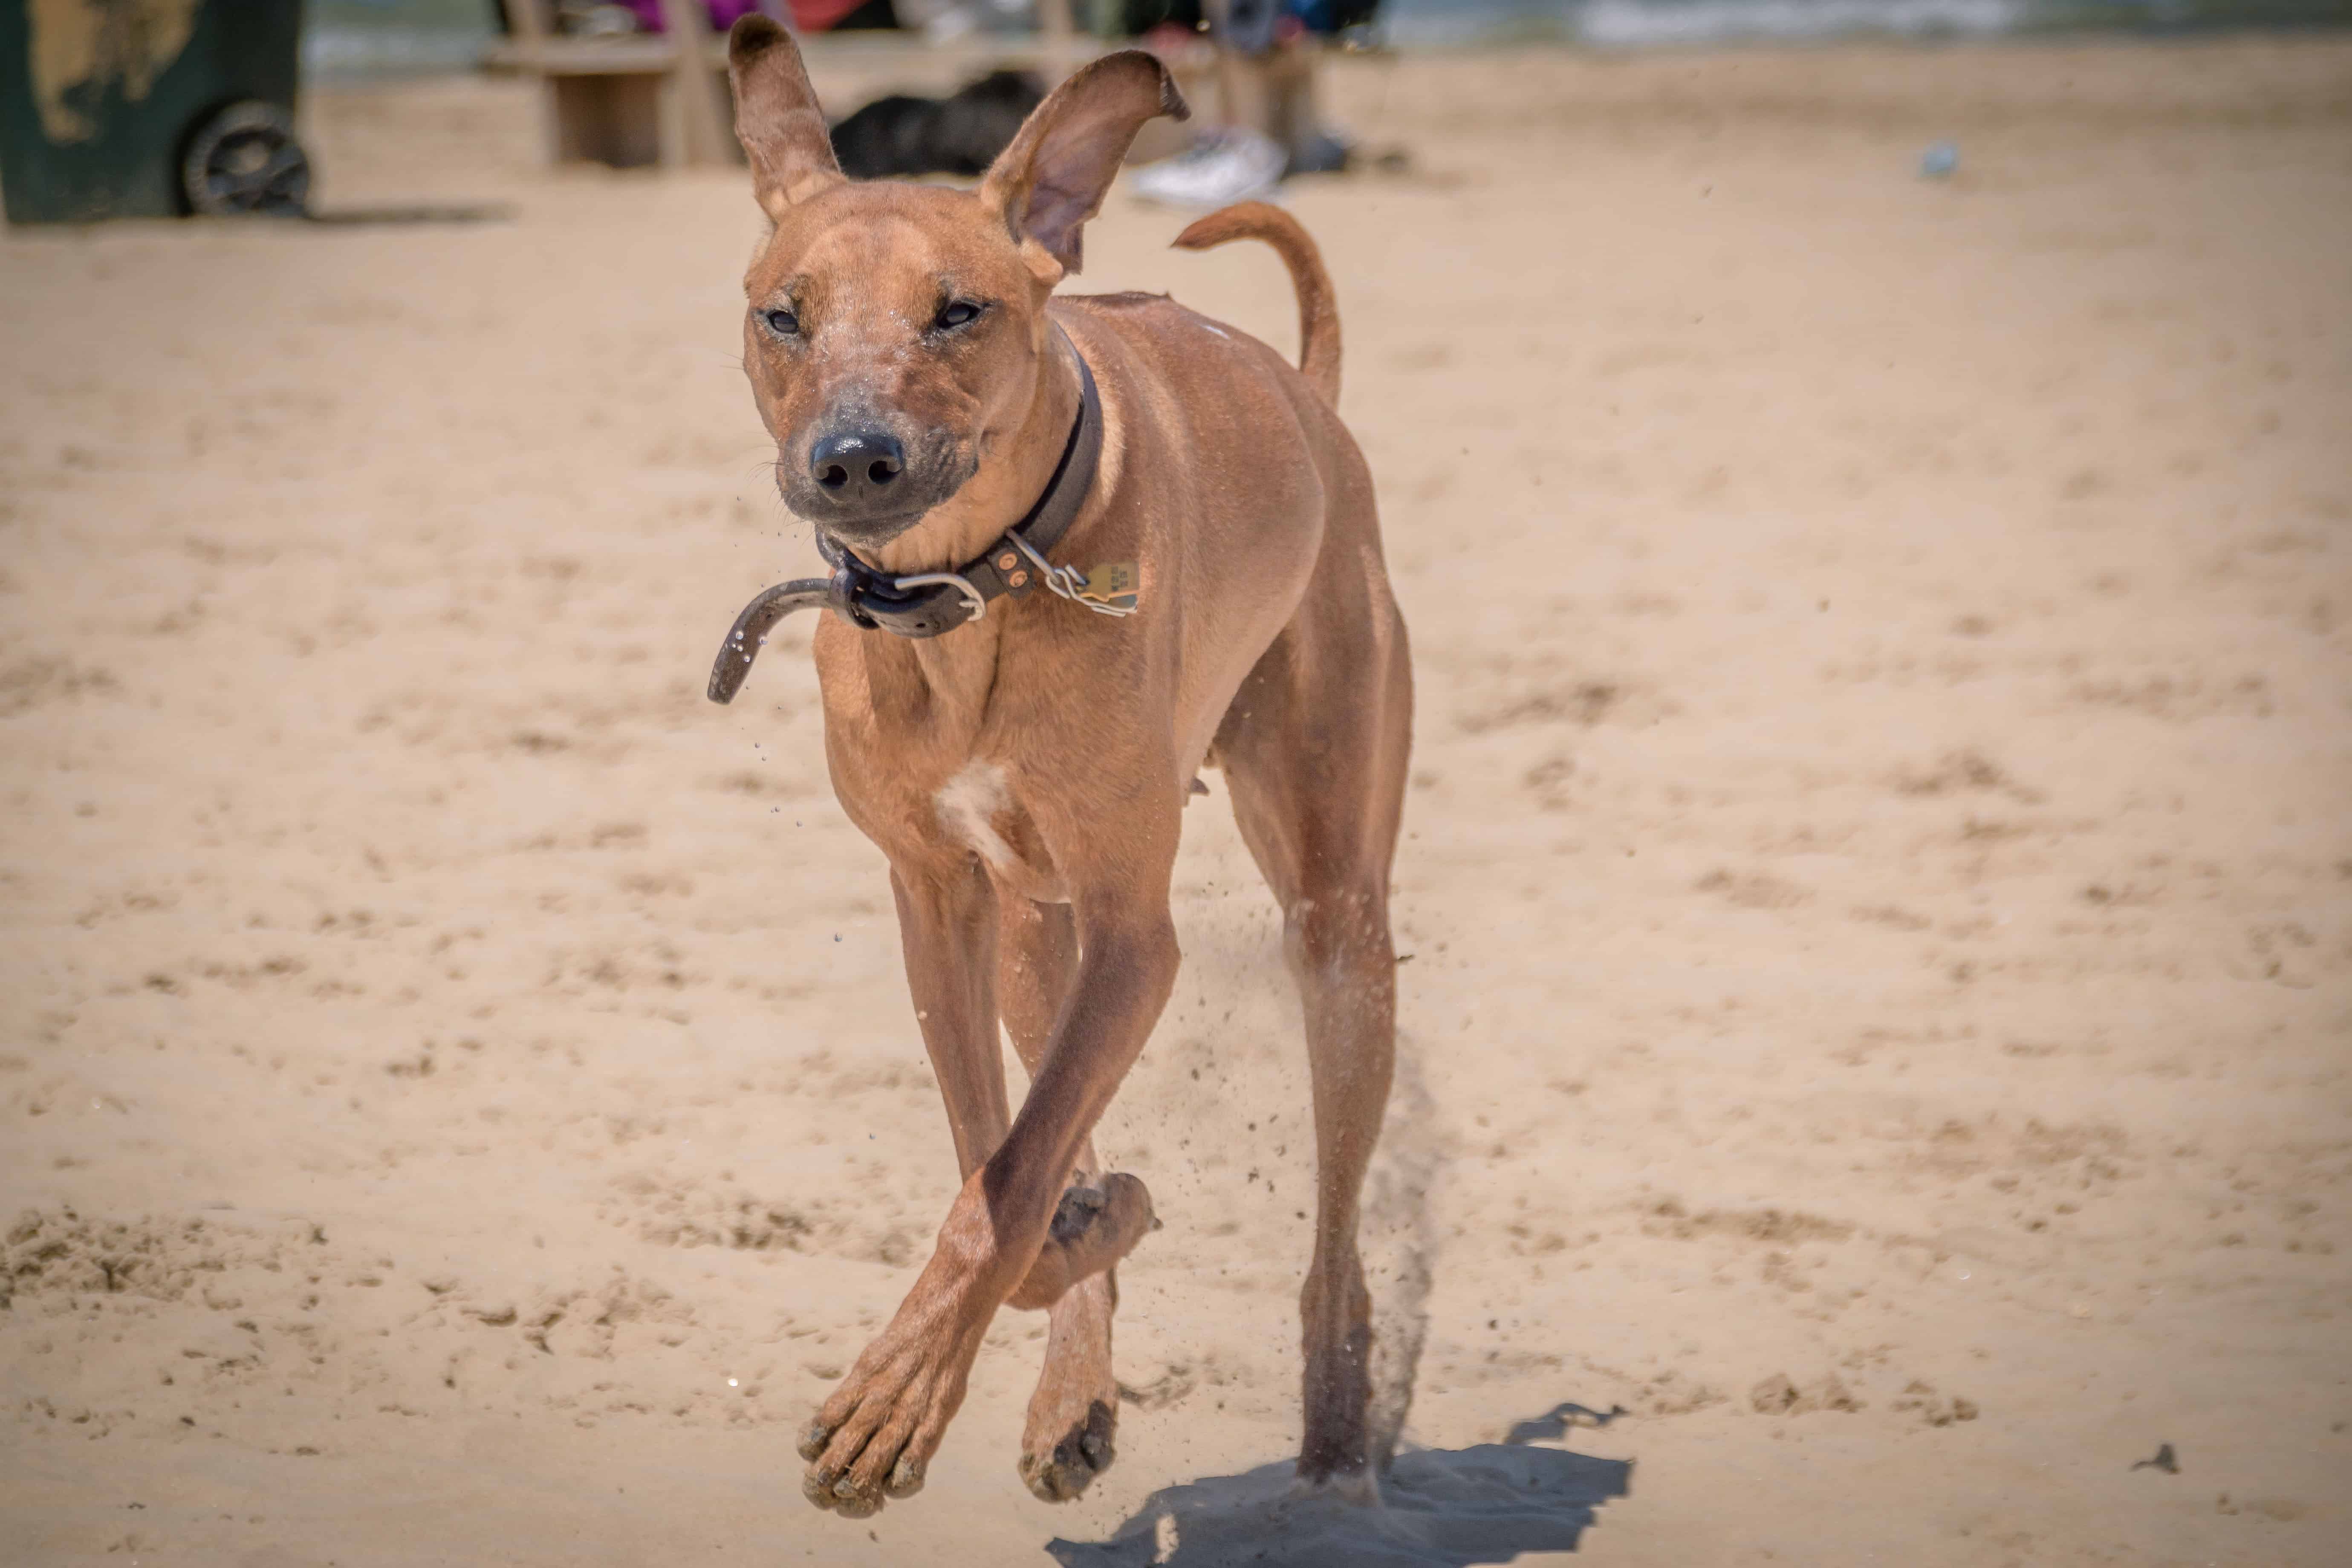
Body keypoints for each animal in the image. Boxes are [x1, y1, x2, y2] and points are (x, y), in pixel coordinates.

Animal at [715, 15, 1401, 1523]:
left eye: (957, 311)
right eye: (785, 315)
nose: (852, 460)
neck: (968, 593)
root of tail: (1309, 401)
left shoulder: (1137, 935)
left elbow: (1007, 1181)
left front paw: (893, 1398)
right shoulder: (938, 899)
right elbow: (1007, 1168)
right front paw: (1093, 1231)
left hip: (1335, 918)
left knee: (1336, 1228)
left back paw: (1333, 1437)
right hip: (1041, 934)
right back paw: (1074, 1385)